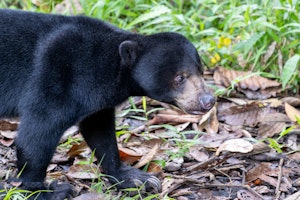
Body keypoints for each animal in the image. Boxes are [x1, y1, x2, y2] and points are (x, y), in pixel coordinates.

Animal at [0, 9, 216, 198]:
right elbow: (38, 132)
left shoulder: (96, 100)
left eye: (201, 71)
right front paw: (45, 191)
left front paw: (137, 178)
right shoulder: (58, 75)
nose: (208, 100)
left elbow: (100, 132)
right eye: (180, 77)